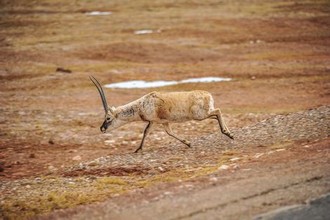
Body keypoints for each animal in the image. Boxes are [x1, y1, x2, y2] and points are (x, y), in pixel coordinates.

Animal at [89, 76, 233, 153]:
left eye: (108, 117)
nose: (102, 128)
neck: (141, 105)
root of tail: (208, 95)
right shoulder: (163, 122)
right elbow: (169, 133)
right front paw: (188, 143)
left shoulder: (153, 121)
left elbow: (146, 132)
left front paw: (138, 149)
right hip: (202, 115)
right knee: (215, 115)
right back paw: (228, 132)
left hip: (199, 115)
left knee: (217, 111)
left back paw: (228, 133)